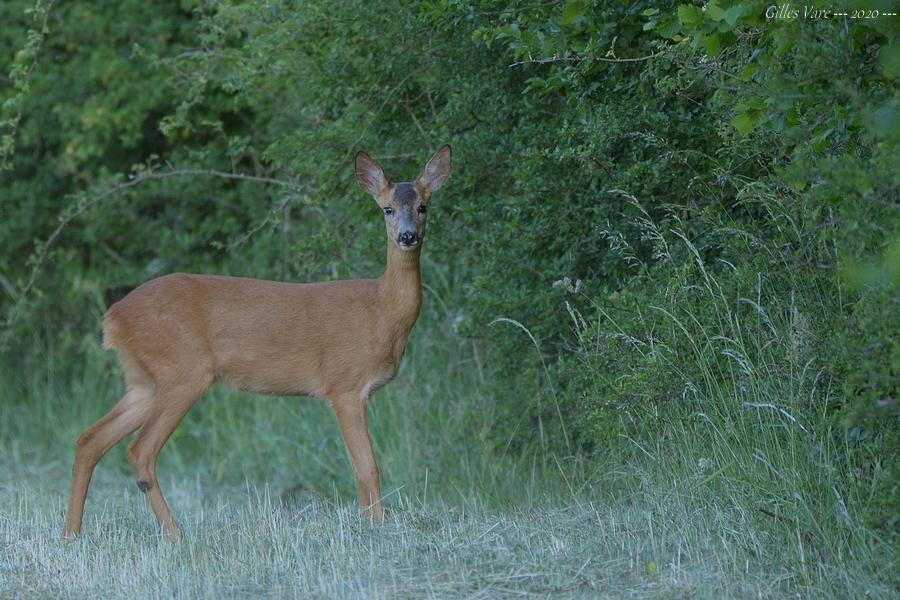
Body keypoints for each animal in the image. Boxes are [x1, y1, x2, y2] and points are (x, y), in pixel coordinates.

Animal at [64, 144, 454, 540]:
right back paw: (176, 534)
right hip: (183, 371)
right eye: (386, 208)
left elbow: (361, 470)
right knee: (139, 450)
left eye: (423, 206)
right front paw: (378, 527)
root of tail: (112, 319)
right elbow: (367, 467)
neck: (382, 310)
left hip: (144, 381)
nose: (408, 237)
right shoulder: (343, 385)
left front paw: (370, 525)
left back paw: (71, 535)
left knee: (88, 439)